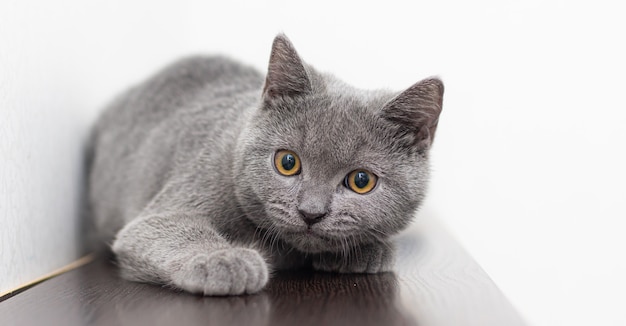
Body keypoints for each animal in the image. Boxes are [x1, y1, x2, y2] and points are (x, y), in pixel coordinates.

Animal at [88, 35, 444, 296]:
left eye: (361, 181)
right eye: (287, 162)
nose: (311, 213)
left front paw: (368, 250)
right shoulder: (166, 208)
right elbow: (164, 228)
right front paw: (226, 259)